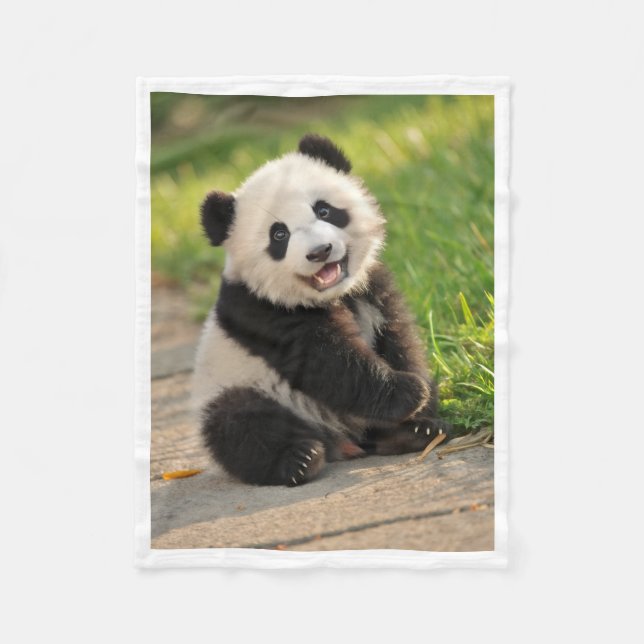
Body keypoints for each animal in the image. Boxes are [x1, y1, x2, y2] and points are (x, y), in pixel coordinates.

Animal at [192, 134, 449, 487]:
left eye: (324, 210)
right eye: (279, 234)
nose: (320, 252)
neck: (334, 295)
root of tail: (343, 439)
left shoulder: (372, 287)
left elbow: (398, 338)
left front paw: (422, 412)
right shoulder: (262, 311)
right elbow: (328, 360)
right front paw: (408, 393)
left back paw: (408, 435)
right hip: (241, 384)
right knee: (240, 423)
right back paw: (299, 459)